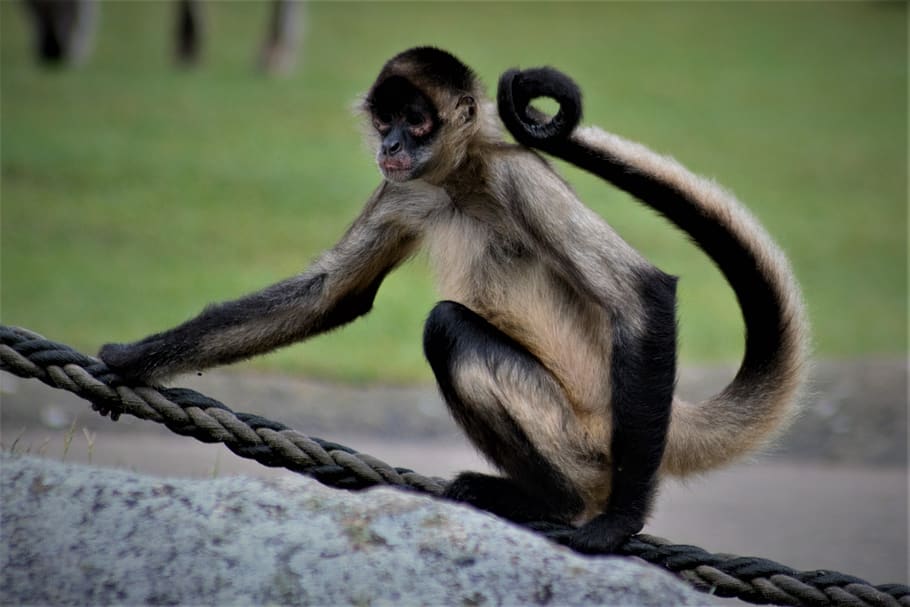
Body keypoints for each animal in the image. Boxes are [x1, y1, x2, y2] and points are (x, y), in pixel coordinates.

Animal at [99, 47, 808, 553]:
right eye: (385, 122)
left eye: (417, 121)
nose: (391, 146)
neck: (458, 181)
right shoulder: (404, 189)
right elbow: (329, 296)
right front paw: (132, 360)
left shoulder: (514, 174)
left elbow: (642, 290)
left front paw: (619, 525)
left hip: (584, 444)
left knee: (447, 327)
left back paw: (562, 506)